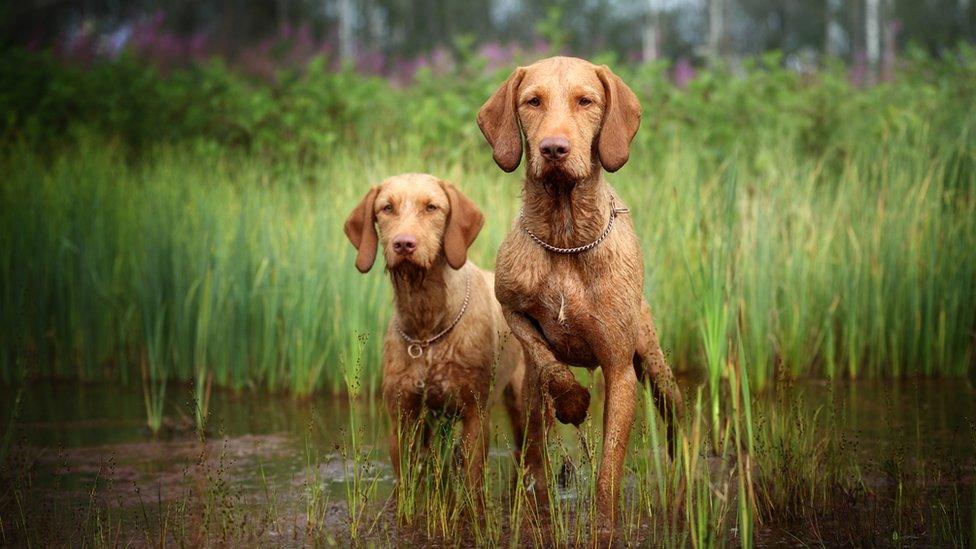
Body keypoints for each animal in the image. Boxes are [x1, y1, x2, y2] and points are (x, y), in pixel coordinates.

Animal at [346, 174, 528, 496]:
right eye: (386, 208)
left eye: (431, 207)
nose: (404, 244)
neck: (427, 326)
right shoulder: (403, 417)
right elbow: (408, 486)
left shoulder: (474, 415)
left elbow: (472, 483)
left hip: (523, 401)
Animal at [476, 55, 684, 536]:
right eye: (532, 101)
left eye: (585, 101)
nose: (553, 149)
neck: (566, 237)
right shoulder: (512, 308)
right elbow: (547, 358)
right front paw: (572, 401)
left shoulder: (620, 369)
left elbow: (608, 469)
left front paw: (603, 525)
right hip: (529, 400)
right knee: (534, 446)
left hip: (654, 363)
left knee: (675, 411)